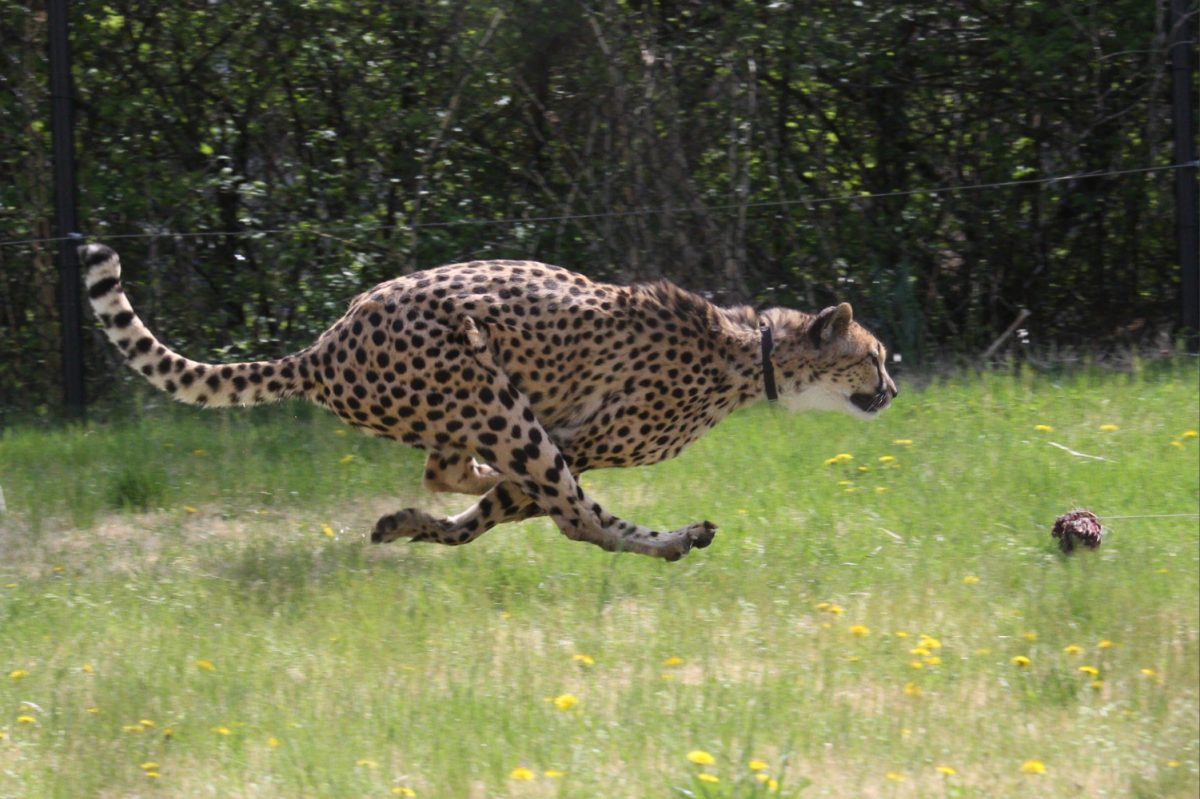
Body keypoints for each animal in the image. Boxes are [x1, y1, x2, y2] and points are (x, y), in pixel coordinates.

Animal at [81, 243, 897, 561]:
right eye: (874, 357)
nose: (893, 389)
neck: (751, 350)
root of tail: (323, 345)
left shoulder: (561, 445)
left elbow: (492, 510)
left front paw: (415, 522)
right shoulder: (581, 441)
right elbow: (541, 507)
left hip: (481, 410)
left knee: (450, 472)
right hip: (491, 392)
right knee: (576, 519)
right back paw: (672, 540)